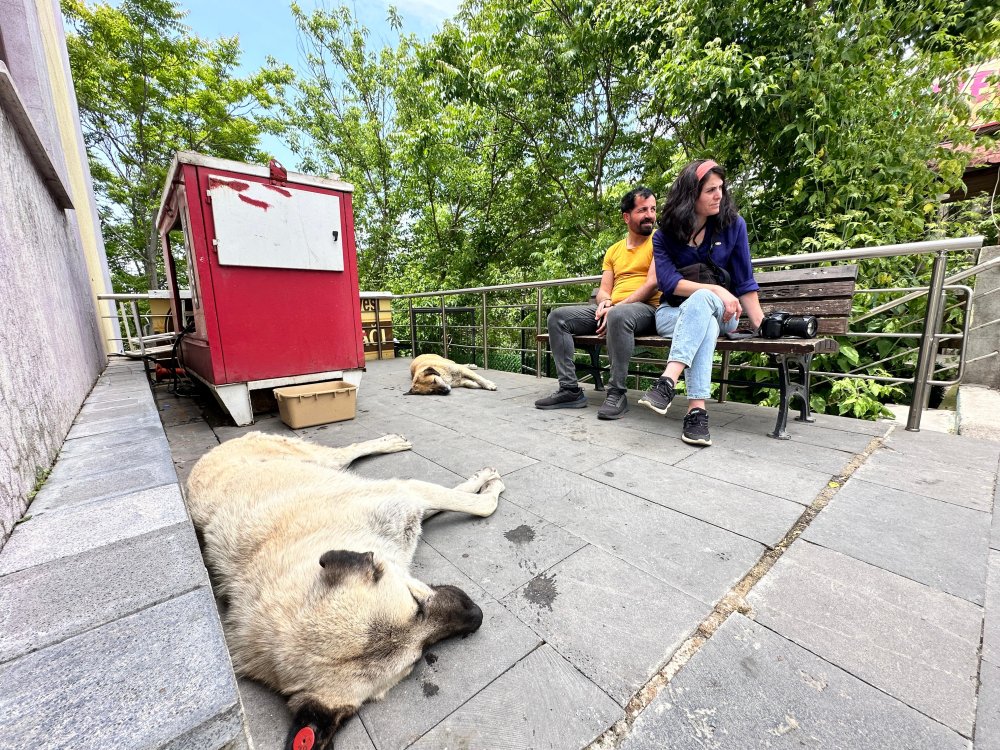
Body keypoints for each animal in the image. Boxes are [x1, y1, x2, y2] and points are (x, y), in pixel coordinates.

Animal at [185, 432, 504, 748]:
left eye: (417, 604)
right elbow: (476, 504)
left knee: (348, 452)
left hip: (318, 459)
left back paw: (391, 443)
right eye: (417, 658)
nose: (477, 615)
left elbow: (471, 502)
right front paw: (487, 485)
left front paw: (485, 481)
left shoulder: (404, 496)